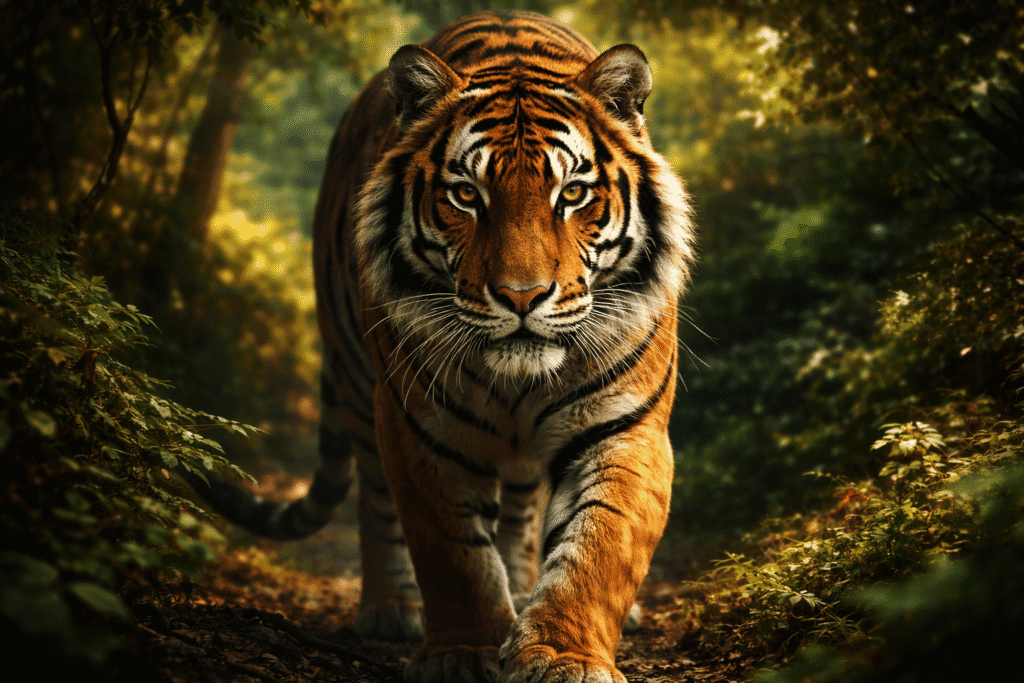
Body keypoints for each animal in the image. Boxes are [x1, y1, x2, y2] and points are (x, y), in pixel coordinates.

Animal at [185, 9, 694, 683]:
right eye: (466, 195)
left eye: (572, 195)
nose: (522, 296)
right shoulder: (419, 426)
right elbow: (453, 551)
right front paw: (465, 652)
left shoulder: (625, 426)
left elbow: (598, 549)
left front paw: (563, 656)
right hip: (356, 382)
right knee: (376, 502)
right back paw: (390, 609)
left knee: (523, 512)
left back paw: (524, 592)